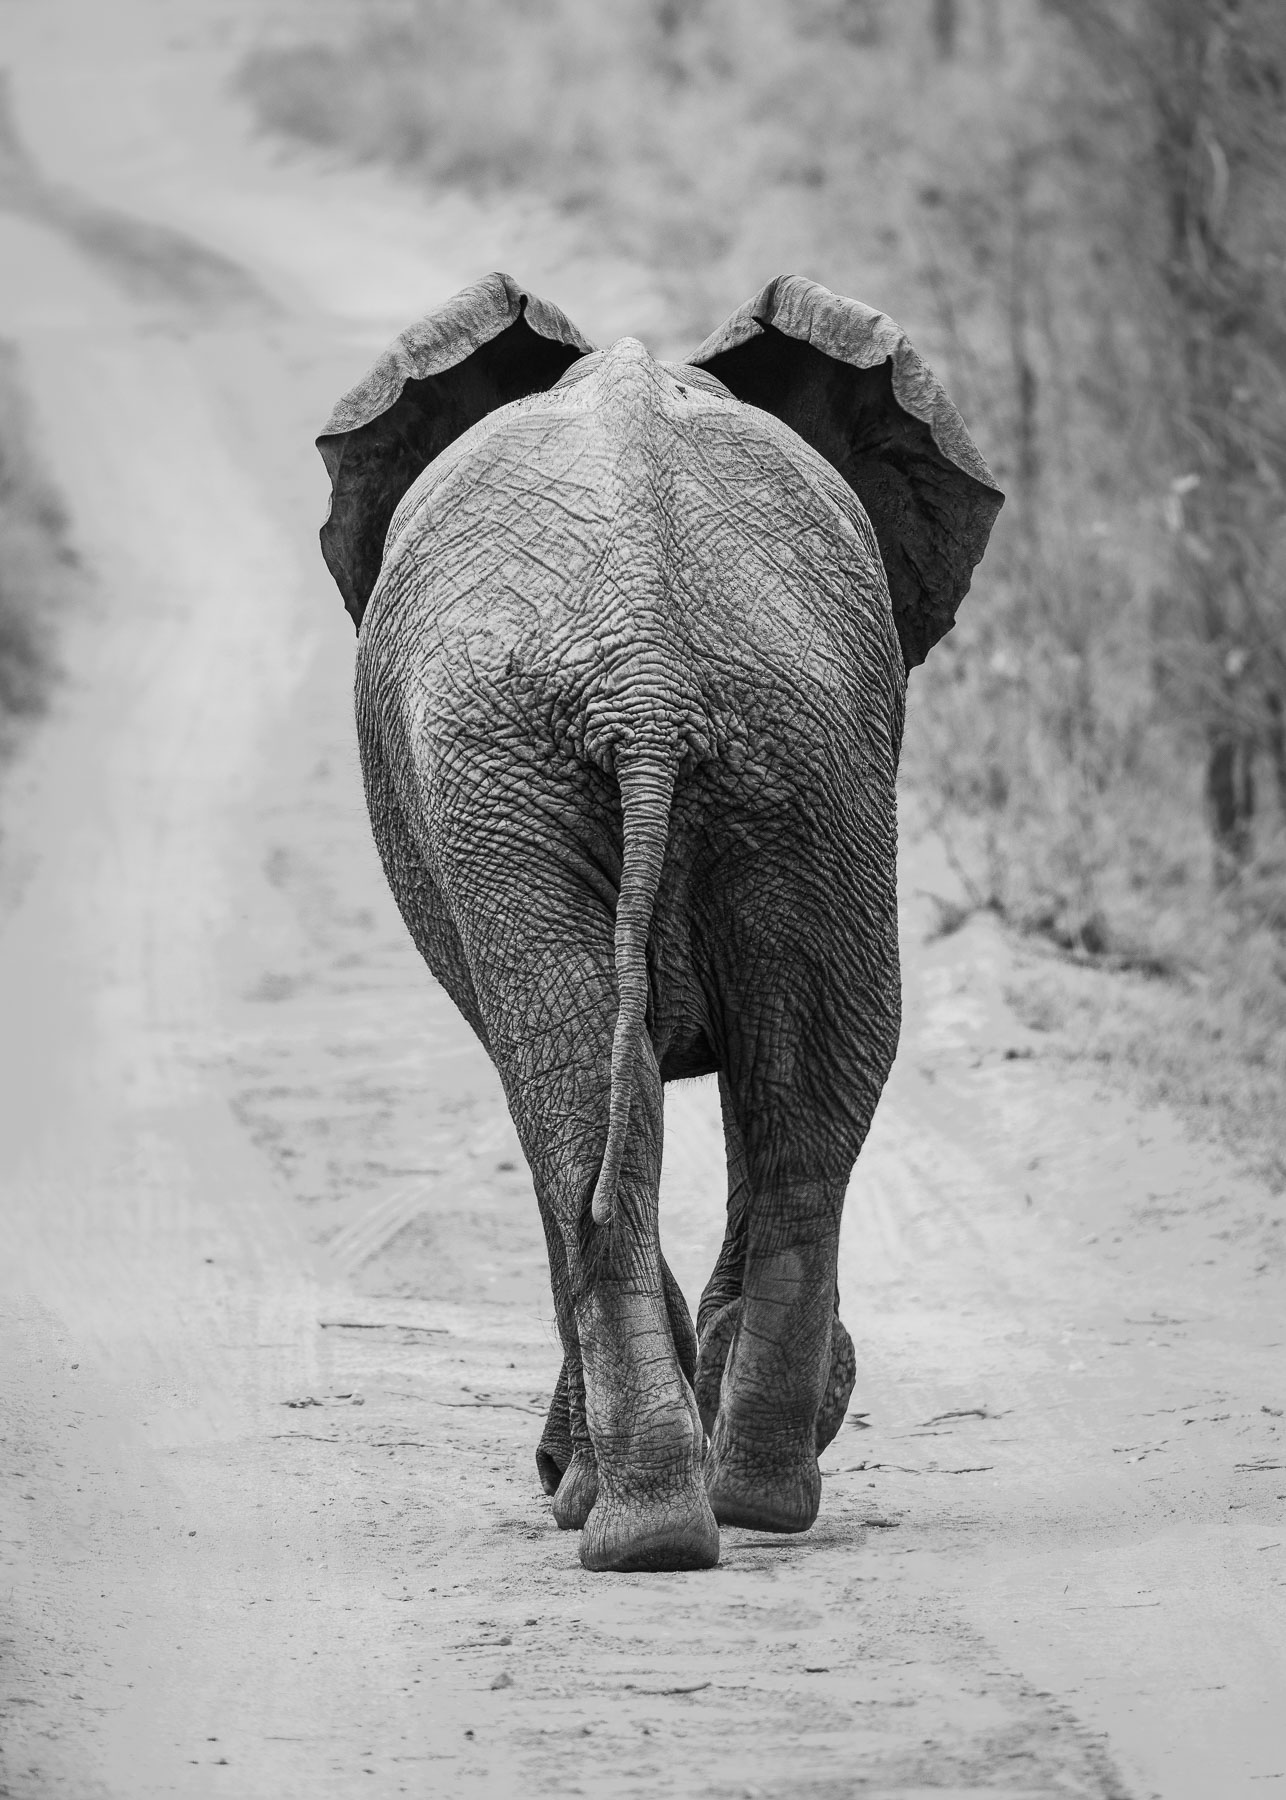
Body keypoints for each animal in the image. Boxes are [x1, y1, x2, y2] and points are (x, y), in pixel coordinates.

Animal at [316, 271, 1002, 1572]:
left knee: (594, 1099)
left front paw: (561, 1479)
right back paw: (724, 1511)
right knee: (780, 1096)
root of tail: (644, 666)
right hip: (792, 753)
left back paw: (641, 1521)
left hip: (628, 755)